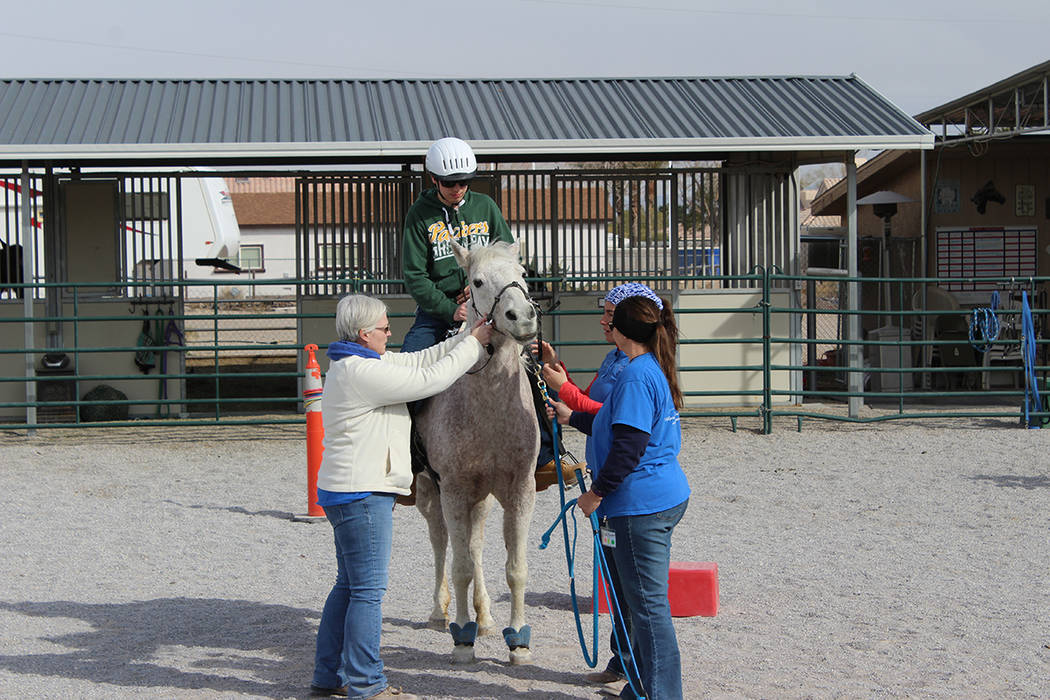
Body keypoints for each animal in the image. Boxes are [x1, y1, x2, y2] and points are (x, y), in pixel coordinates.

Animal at [411, 238, 541, 667]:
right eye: (478, 281)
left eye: (522, 274)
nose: (523, 318)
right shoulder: (452, 489)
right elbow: (461, 567)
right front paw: (462, 640)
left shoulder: (520, 490)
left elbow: (515, 567)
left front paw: (517, 641)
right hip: (431, 492)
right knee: (441, 543)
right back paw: (440, 613)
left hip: (480, 498)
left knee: (475, 543)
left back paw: (483, 617)